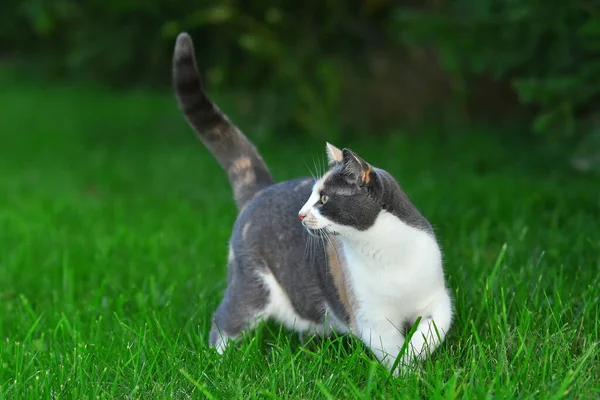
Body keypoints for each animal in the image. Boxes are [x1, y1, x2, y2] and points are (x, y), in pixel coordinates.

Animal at [171, 32, 452, 374]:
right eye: (310, 196)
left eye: (324, 198)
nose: (301, 214)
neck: (386, 252)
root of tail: (262, 190)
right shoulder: (370, 318)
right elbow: (392, 350)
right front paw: (406, 375)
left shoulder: (437, 299)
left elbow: (432, 330)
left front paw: (417, 360)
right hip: (252, 286)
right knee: (225, 321)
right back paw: (217, 362)